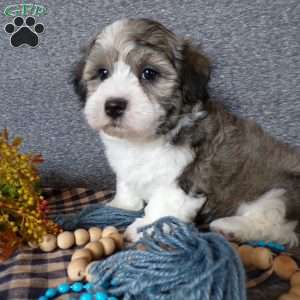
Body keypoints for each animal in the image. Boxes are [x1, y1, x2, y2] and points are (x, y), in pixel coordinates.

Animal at [73, 18, 300, 246]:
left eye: (149, 73)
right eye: (103, 73)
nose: (113, 106)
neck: (143, 140)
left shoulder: (185, 175)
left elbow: (165, 203)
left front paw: (148, 226)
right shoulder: (125, 167)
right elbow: (125, 185)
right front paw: (119, 205)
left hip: (281, 188)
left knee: (277, 225)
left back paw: (230, 227)